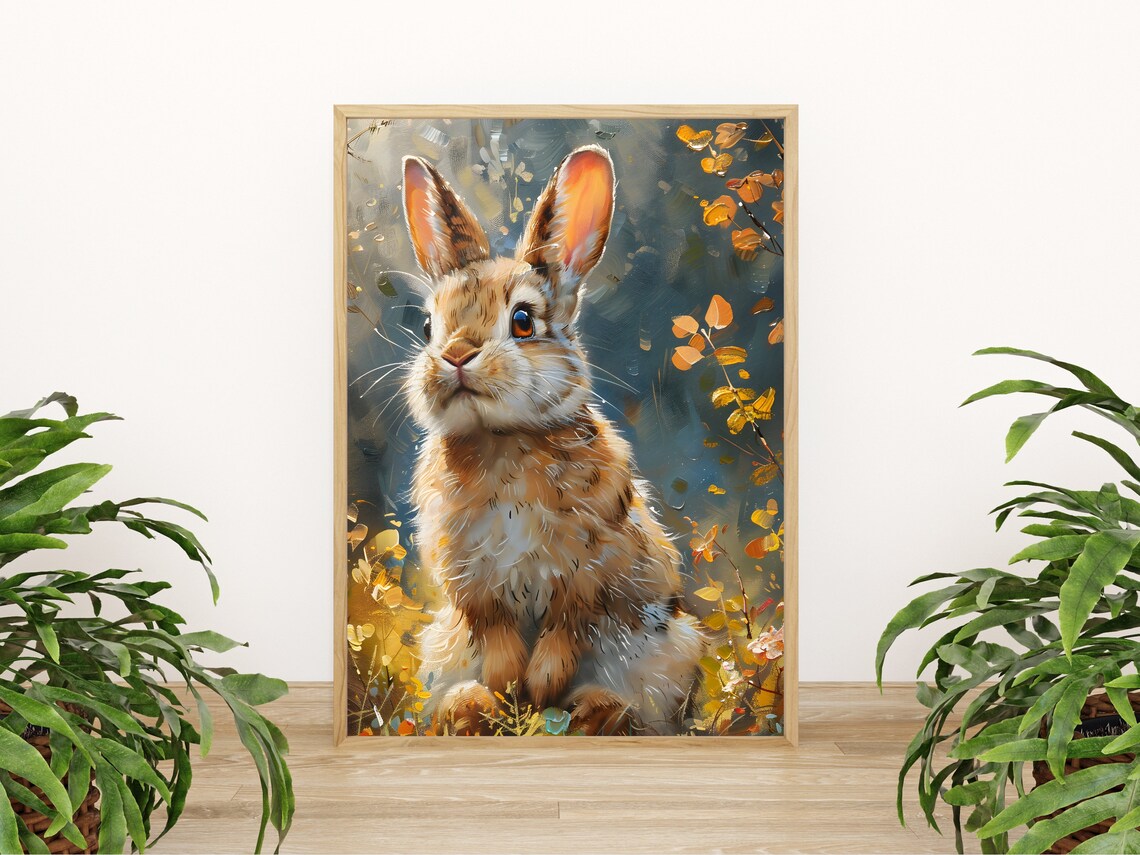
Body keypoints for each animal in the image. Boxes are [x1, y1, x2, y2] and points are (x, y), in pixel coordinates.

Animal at [400, 145, 704, 735]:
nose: (455, 355)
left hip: (666, 648)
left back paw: (596, 712)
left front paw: (538, 690)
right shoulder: (476, 590)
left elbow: (565, 634)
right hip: (442, 645)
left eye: (522, 320)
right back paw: (468, 708)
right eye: (427, 327)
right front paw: (506, 690)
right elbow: (496, 638)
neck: (502, 439)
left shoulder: (586, 577)